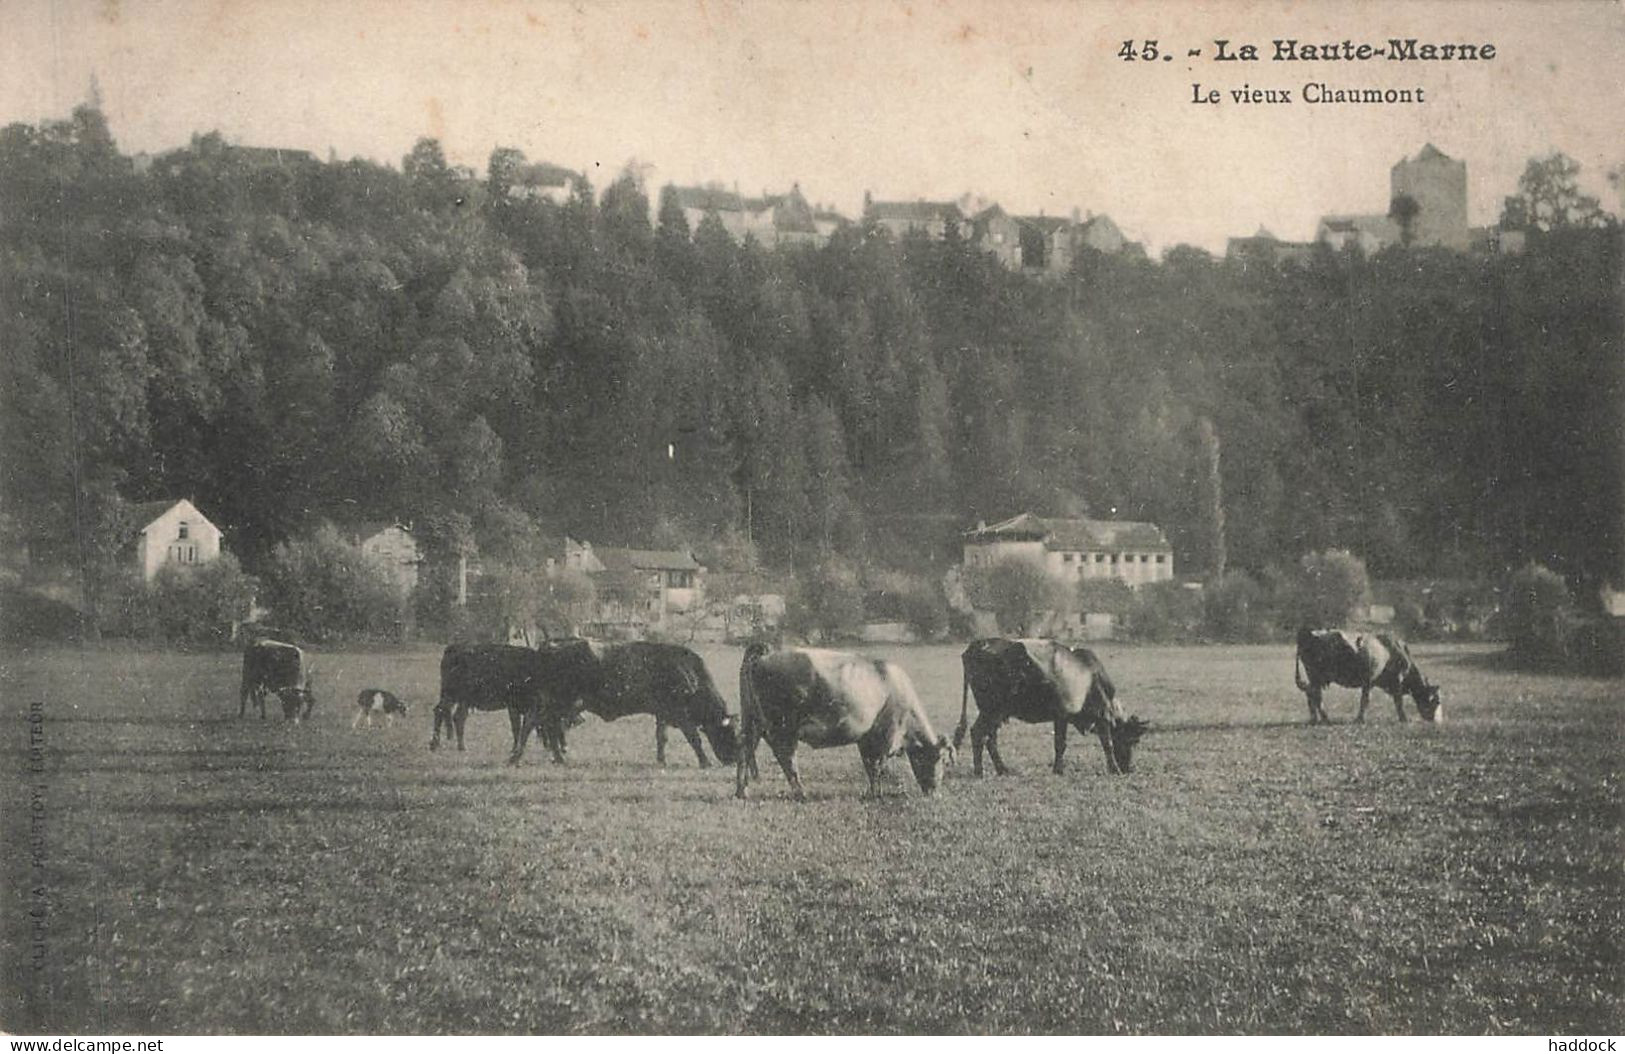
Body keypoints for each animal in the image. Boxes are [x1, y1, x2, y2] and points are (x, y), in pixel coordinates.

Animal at [737, 639, 949, 799]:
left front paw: (872, 792)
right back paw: (800, 793)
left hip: (753, 723)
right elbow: (878, 766)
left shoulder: (866, 738)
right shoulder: (884, 736)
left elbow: (869, 766)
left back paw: (742, 791)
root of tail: (767, 650)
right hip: (783, 727)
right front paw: (876, 794)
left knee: (746, 751)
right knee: (786, 758)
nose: (935, 792)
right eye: (940, 759)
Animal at [949, 636, 1144, 776]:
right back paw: (979, 771)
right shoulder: (1083, 716)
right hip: (992, 710)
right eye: (1133, 740)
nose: (1129, 768)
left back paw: (1001, 769)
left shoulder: (1064, 717)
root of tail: (978, 644)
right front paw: (1113, 769)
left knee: (989, 738)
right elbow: (1099, 743)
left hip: (995, 712)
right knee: (978, 734)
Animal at [1300, 623, 1443, 724]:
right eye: (1436, 701)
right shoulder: (1395, 680)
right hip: (1316, 676)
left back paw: (1314, 719)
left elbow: (1365, 699)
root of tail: (1310, 632)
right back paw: (1324, 719)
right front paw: (1404, 719)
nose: (1437, 721)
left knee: (1311, 694)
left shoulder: (1370, 682)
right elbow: (1396, 701)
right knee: (1316, 696)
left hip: (1314, 678)